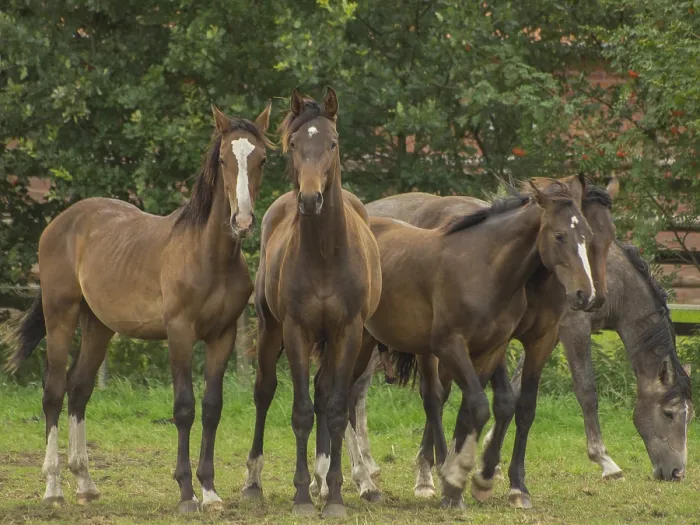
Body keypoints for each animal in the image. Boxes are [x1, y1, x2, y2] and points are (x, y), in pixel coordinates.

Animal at [4, 103, 272, 512]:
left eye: (261, 159)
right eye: (224, 159)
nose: (241, 221)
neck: (208, 255)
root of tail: (60, 224)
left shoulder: (222, 336)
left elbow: (212, 407)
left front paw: (210, 492)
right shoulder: (179, 333)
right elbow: (184, 408)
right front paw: (186, 493)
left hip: (98, 326)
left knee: (79, 389)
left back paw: (85, 483)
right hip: (60, 315)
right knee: (53, 392)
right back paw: (53, 488)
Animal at [239, 88, 382, 518]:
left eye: (332, 143)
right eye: (295, 145)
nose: (310, 199)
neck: (324, 255)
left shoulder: (347, 332)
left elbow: (334, 410)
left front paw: (333, 496)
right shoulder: (296, 331)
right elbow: (301, 411)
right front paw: (302, 496)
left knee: (324, 393)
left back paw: (324, 480)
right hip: (271, 331)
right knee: (264, 391)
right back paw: (254, 482)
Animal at [339, 176, 598, 508]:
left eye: (587, 235)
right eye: (559, 235)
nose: (585, 294)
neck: (483, 268)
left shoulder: (495, 348)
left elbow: (488, 407)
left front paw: (472, 481)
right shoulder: (451, 345)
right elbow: (479, 405)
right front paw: (460, 477)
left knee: (418, 396)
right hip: (360, 341)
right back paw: (356, 483)